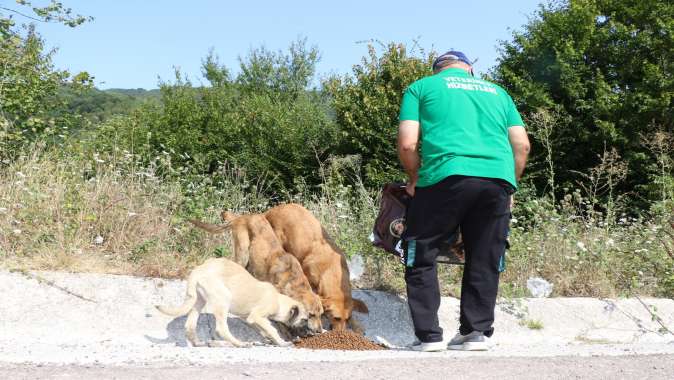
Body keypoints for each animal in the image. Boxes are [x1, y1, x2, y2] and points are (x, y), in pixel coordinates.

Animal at [155, 258, 308, 348]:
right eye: (304, 320)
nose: (309, 334)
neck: (278, 299)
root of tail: (198, 270)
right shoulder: (257, 316)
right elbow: (271, 329)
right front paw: (281, 342)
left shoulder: (249, 319)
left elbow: (264, 329)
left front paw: (270, 340)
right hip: (223, 298)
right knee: (221, 329)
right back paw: (239, 343)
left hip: (198, 300)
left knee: (190, 325)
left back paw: (199, 342)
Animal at [188, 212, 324, 334]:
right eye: (311, 315)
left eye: (321, 314)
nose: (319, 331)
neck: (293, 280)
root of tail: (241, 217)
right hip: (243, 254)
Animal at [262, 203, 368, 332]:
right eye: (336, 318)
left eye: (346, 319)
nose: (341, 333)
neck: (331, 270)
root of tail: (274, 209)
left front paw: (357, 325)